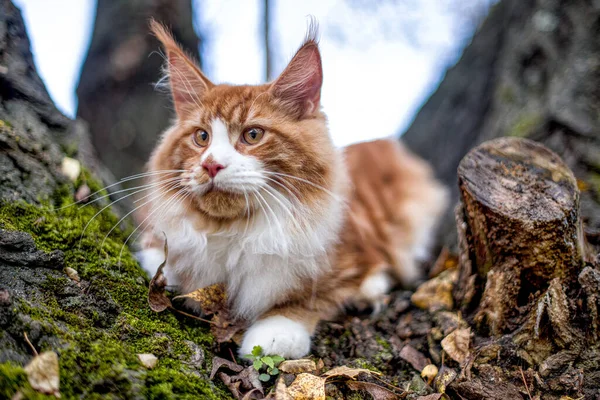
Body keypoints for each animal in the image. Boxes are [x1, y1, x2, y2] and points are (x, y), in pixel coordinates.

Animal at [136, 20, 446, 360]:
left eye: (253, 135)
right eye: (202, 137)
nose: (211, 165)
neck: (235, 231)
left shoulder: (350, 251)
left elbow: (310, 296)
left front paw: (277, 330)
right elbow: (163, 259)